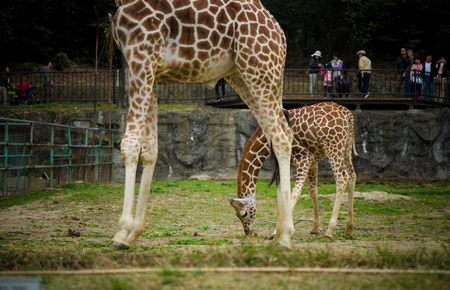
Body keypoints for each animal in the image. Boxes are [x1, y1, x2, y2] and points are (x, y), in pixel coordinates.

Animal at [110, 0, 294, 249]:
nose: (249, 232)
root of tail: (279, 33)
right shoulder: (152, 71)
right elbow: (150, 151)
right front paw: (134, 233)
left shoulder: (140, 53)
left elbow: (129, 145)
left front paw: (122, 232)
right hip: (243, 74)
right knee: (279, 134)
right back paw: (279, 233)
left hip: (260, 70)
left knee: (282, 137)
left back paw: (285, 236)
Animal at [230, 103, 356, 239]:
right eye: (237, 215)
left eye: (243, 214)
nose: (249, 232)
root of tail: (348, 115)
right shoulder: (313, 160)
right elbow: (312, 190)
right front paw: (316, 228)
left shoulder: (304, 157)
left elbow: (294, 192)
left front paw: (277, 232)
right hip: (346, 147)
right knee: (352, 175)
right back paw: (349, 228)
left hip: (333, 146)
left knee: (342, 178)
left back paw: (330, 230)